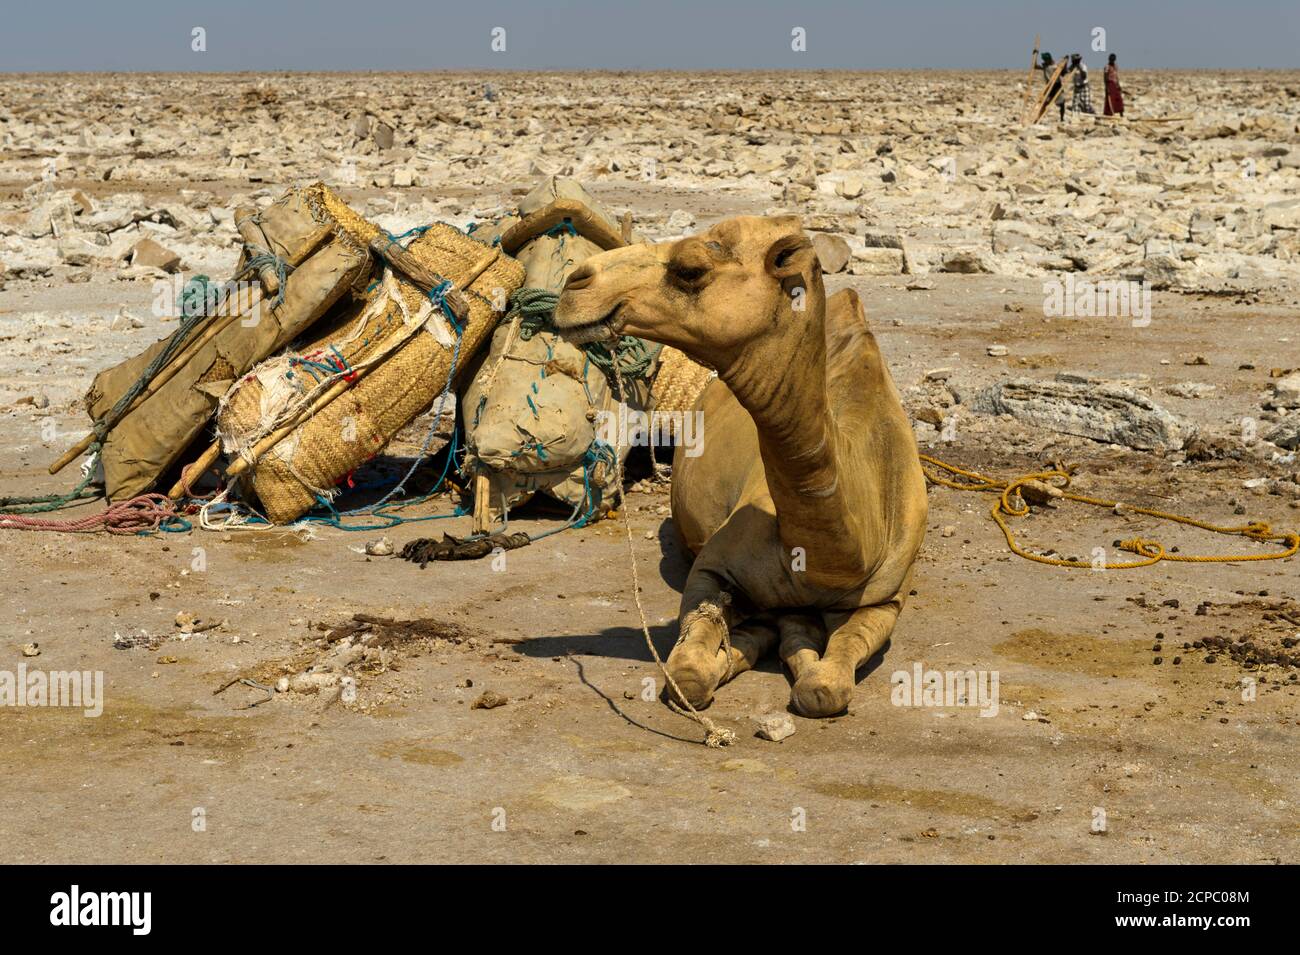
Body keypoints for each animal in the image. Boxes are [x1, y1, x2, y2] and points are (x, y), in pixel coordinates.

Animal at [553, 216, 930, 717]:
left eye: (691, 269)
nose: (574, 284)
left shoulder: (885, 599)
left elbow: (826, 687)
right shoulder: (713, 567)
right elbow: (689, 675)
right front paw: (733, 654)